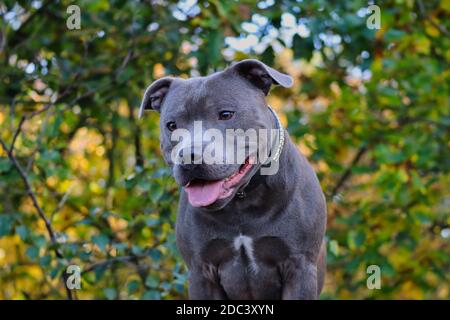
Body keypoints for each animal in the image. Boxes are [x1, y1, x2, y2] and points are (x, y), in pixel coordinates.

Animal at [140, 58, 326, 298]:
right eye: (171, 125)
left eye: (226, 114)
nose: (189, 156)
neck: (242, 202)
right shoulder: (201, 273)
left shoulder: (300, 267)